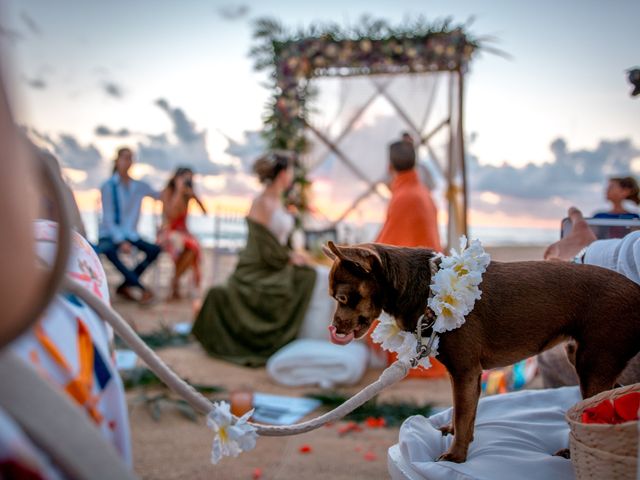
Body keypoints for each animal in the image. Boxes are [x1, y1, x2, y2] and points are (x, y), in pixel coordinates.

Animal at [322, 242, 640, 464]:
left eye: (342, 298)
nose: (334, 328)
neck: (428, 290)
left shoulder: (465, 372)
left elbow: (464, 416)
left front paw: (456, 457)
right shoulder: (466, 377)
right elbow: (466, 414)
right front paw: (457, 437)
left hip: (592, 364)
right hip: (586, 359)